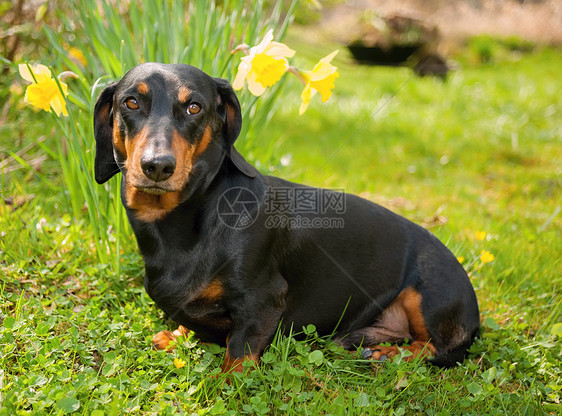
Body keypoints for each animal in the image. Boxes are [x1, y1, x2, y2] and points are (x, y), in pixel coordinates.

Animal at [92, 63, 476, 372]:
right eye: (131, 102)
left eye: (194, 107)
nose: (157, 166)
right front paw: (177, 334)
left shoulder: (263, 301)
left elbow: (239, 353)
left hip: (429, 294)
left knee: (435, 347)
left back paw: (390, 355)